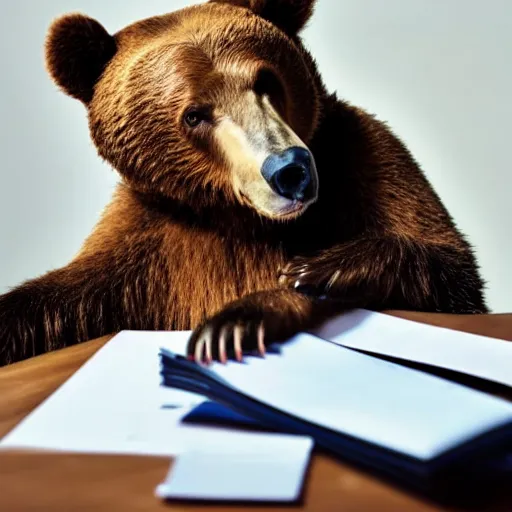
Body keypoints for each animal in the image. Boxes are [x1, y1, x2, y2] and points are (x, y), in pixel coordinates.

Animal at [0, 0, 488, 368]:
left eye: (266, 80)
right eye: (194, 114)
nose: (290, 168)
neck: (239, 217)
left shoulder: (366, 159)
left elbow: (449, 269)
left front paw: (259, 304)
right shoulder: (145, 241)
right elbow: (60, 301)